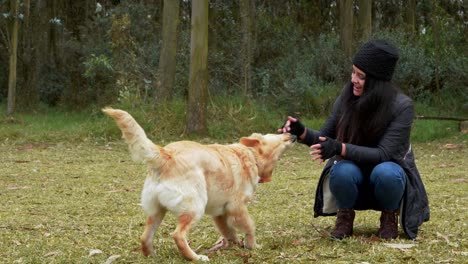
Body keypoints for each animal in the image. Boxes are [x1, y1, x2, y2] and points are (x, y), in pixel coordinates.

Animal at [103, 108, 294, 260]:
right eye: (279, 134)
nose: (292, 133)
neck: (250, 154)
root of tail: (166, 155)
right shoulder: (237, 208)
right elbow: (249, 227)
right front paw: (252, 245)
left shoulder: (220, 213)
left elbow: (229, 232)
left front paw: (234, 244)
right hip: (195, 207)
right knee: (178, 235)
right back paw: (196, 257)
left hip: (157, 211)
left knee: (145, 237)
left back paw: (152, 255)